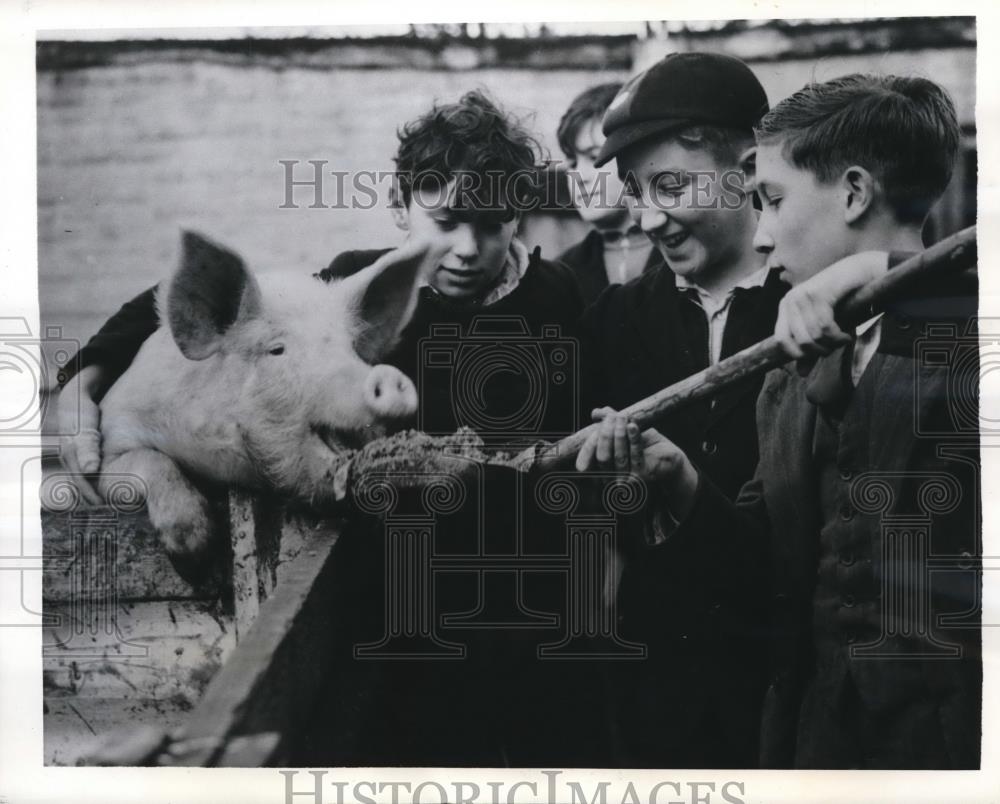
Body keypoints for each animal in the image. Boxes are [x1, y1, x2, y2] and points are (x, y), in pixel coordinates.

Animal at [94, 229, 434, 564]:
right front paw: (193, 545)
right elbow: (147, 461)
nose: (388, 377)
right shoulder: (114, 436)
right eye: (276, 350)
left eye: (352, 348)